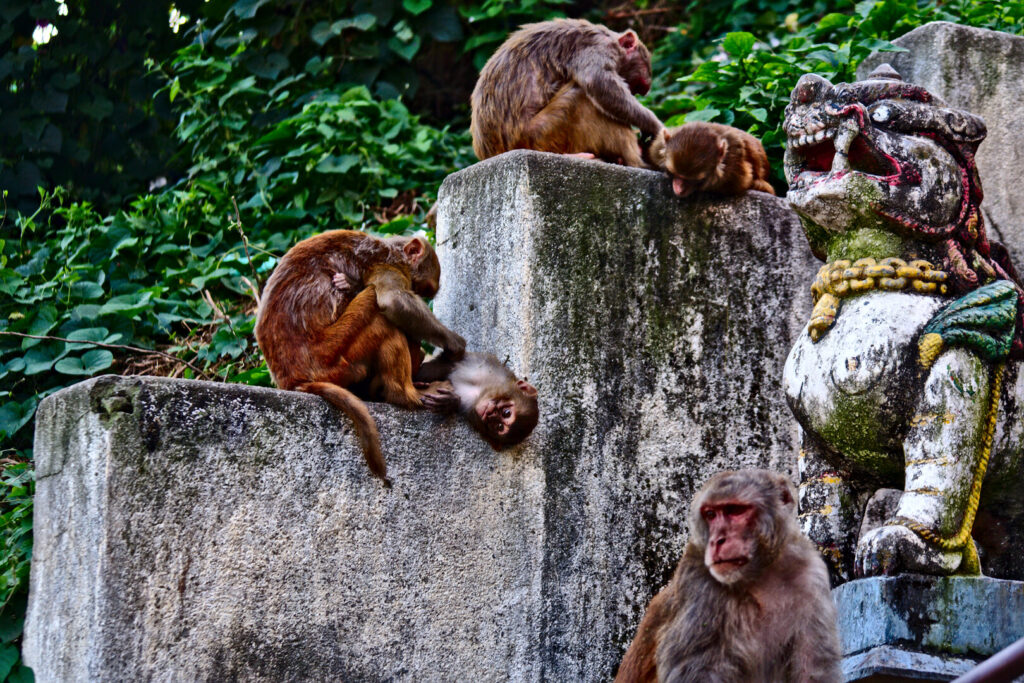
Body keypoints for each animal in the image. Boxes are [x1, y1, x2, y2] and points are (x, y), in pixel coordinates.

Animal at [254, 229, 467, 485]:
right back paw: (403, 394)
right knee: (380, 314)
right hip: (336, 356)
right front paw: (454, 344)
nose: (419, 296)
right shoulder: (387, 267)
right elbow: (393, 300)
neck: (391, 251)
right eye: (417, 287)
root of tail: (291, 380)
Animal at [470, 18, 664, 168]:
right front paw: (655, 126)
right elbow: (599, 82)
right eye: (633, 86)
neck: (608, 37)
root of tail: (491, 152)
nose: (631, 92)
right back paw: (637, 161)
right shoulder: (595, 47)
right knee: (580, 95)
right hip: (537, 135)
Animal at [615, 470, 841, 683]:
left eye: (735, 511)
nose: (717, 541)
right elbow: (694, 672)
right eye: (711, 514)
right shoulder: (698, 580)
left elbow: (813, 671)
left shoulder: (811, 576)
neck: (760, 575)